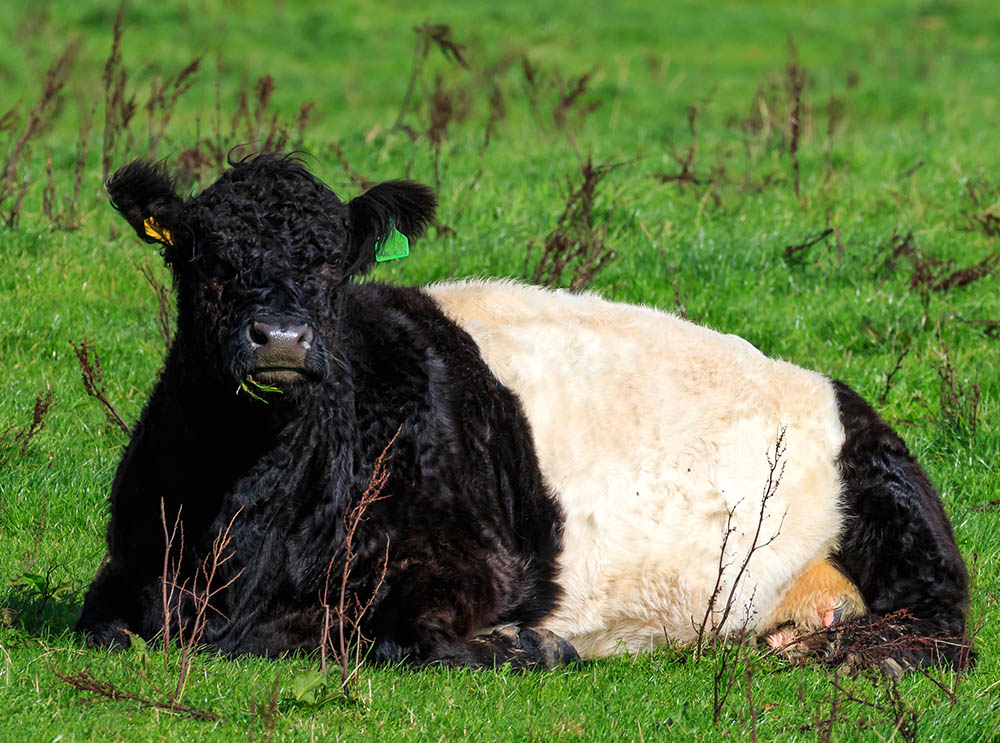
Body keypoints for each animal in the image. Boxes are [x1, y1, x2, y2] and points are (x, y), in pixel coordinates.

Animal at [76, 154, 968, 672]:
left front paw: (530, 640)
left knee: (942, 624)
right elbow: (108, 623)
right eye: (203, 257)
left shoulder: (467, 567)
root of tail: (831, 382)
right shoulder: (130, 565)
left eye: (331, 261)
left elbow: (392, 638)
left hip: (891, 501)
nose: (282, 338)